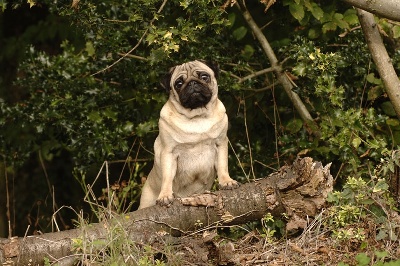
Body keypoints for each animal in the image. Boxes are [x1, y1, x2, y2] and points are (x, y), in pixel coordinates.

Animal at [138, 60, 238, 210]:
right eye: (178, 84)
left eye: (204, 77)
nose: (192, 83)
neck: (197, 116)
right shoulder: (169, 152)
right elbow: (167, 177)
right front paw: (165, 195)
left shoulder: (221, 143)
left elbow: (222, 166)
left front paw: (226, 181)